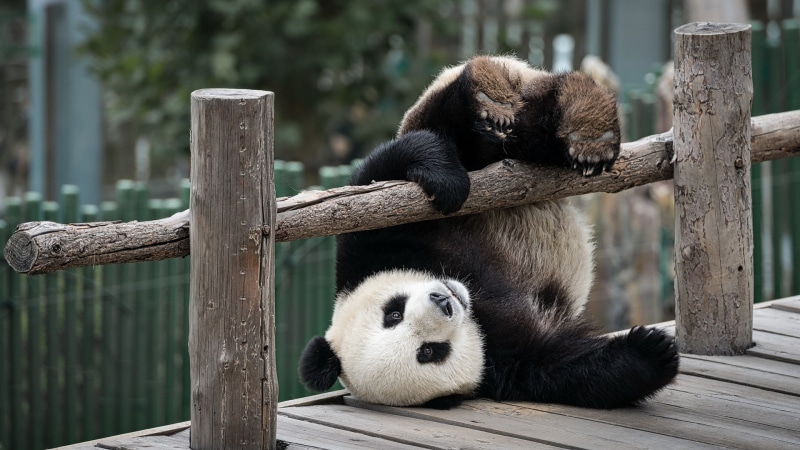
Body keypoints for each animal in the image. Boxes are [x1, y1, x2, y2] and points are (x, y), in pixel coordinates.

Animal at [299, 55, 679, 410]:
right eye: (429, 352)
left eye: (393, 312)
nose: (443, 301)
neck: (474, 301)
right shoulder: (502, 365)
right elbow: (563, 368)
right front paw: (653, 352)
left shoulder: (367, 247)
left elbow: (383, 173)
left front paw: (447, 182)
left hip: (467, 119)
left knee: (467, 126)